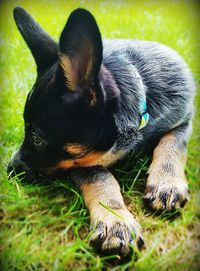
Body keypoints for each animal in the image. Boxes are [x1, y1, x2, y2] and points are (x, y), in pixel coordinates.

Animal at [8, 7, 195, 258]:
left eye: (37, 139)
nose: (9, 170)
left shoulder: (185, 118)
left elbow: (173, 143)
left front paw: (167, 182)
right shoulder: (81, 161)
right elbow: (100, 177)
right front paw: (114, 220)